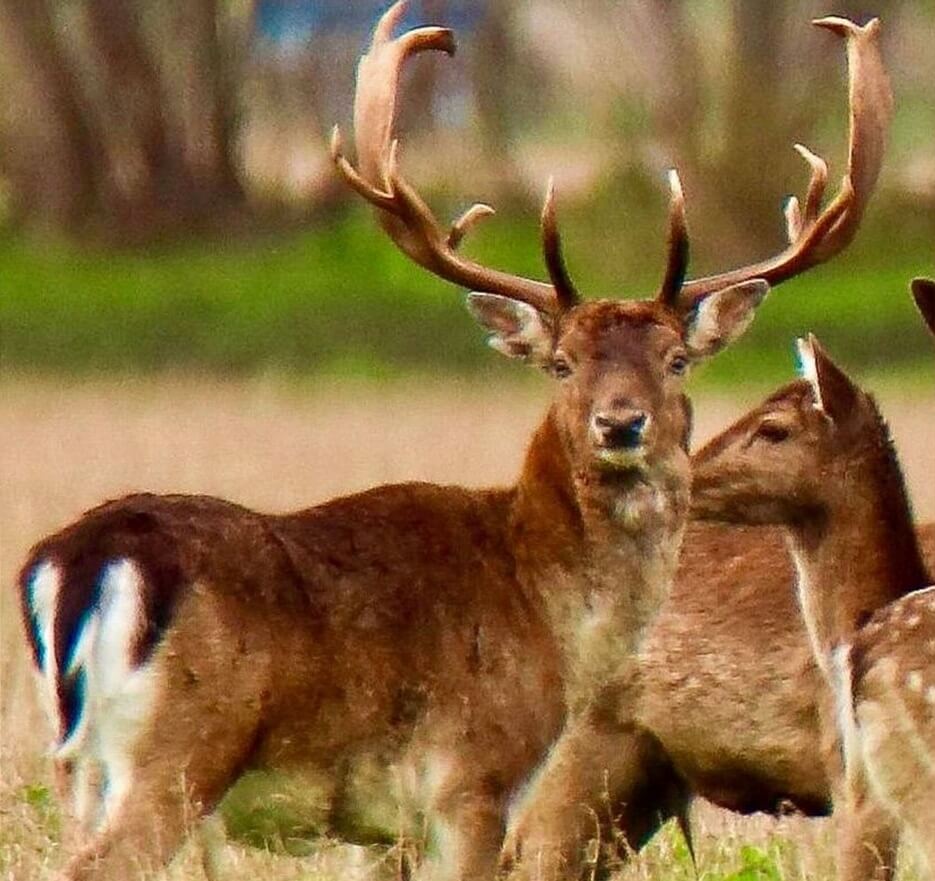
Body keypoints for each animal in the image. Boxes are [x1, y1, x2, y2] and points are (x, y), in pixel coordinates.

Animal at [16, 6, 884, 880]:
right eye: (563, 361)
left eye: (675, 359)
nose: (619, 423)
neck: (546, 610)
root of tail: (75, 562)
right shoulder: (473, 777)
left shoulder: (382, 827)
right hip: (181, 752)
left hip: (77, 762)